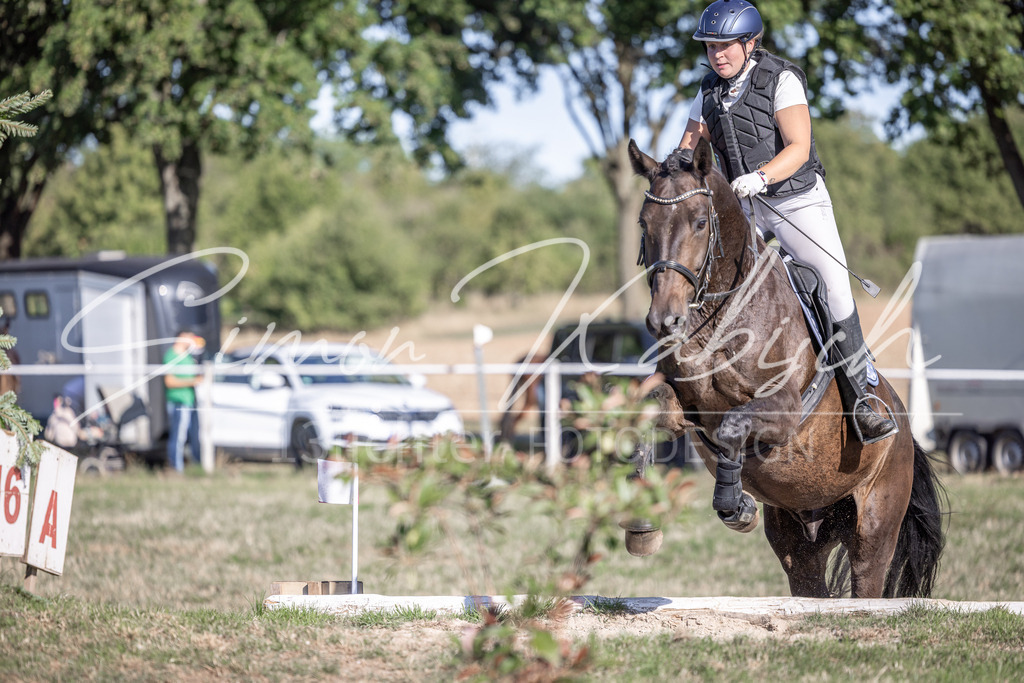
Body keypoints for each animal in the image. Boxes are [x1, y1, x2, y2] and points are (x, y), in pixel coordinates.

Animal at [626, 137, 945, 599]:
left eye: (701, 222)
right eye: (644, 223)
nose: (663, 321)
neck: (720, 316)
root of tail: (905, 429)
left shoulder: (784, 411)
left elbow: (732, 427)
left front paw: (736, 505)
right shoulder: (685, 405)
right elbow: (645, 409)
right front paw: (640, 523)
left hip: (874, 527)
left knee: (868, 579)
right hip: (800, 544)